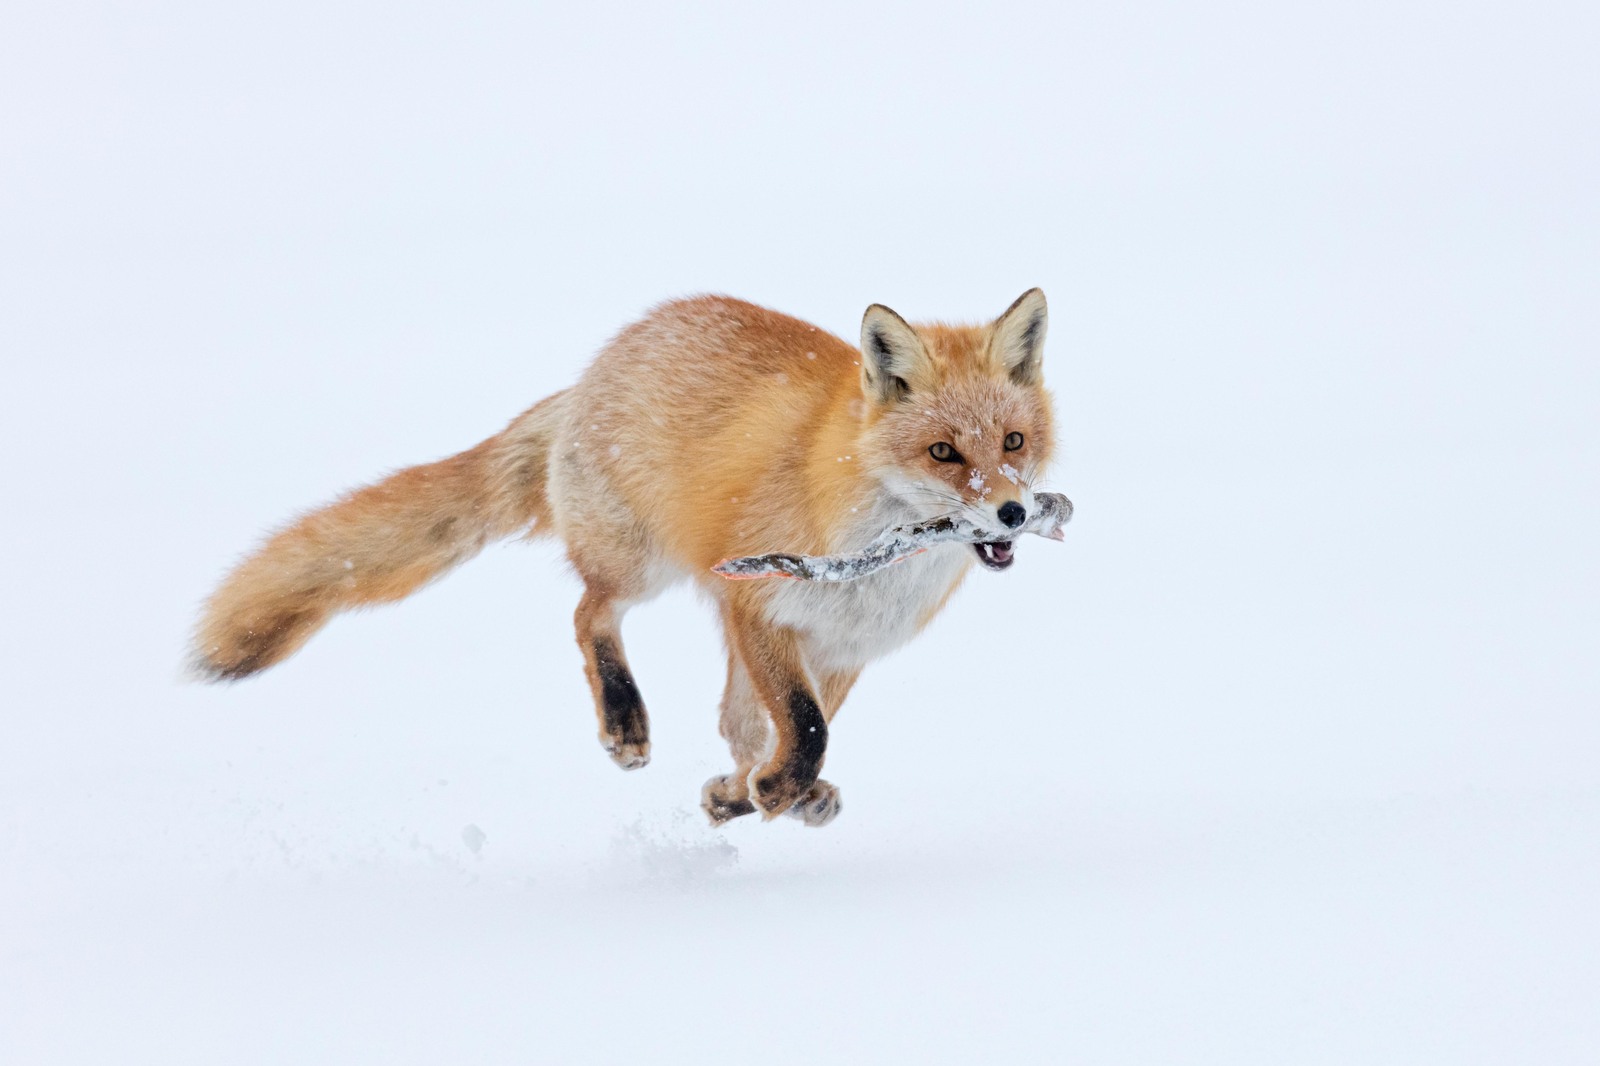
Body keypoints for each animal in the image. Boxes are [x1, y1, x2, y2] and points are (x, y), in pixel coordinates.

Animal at [193, 288, 1056, 819]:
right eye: (944, 452)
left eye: (1014, 442)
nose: (1014, 513)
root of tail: (600, 362)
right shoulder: (756, 604)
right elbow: (806, 728)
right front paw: (773, 789)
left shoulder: (842, 646)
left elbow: (775, 730)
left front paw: (752, 794)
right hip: (640, 564)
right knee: (586, 614)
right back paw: (624, 720)